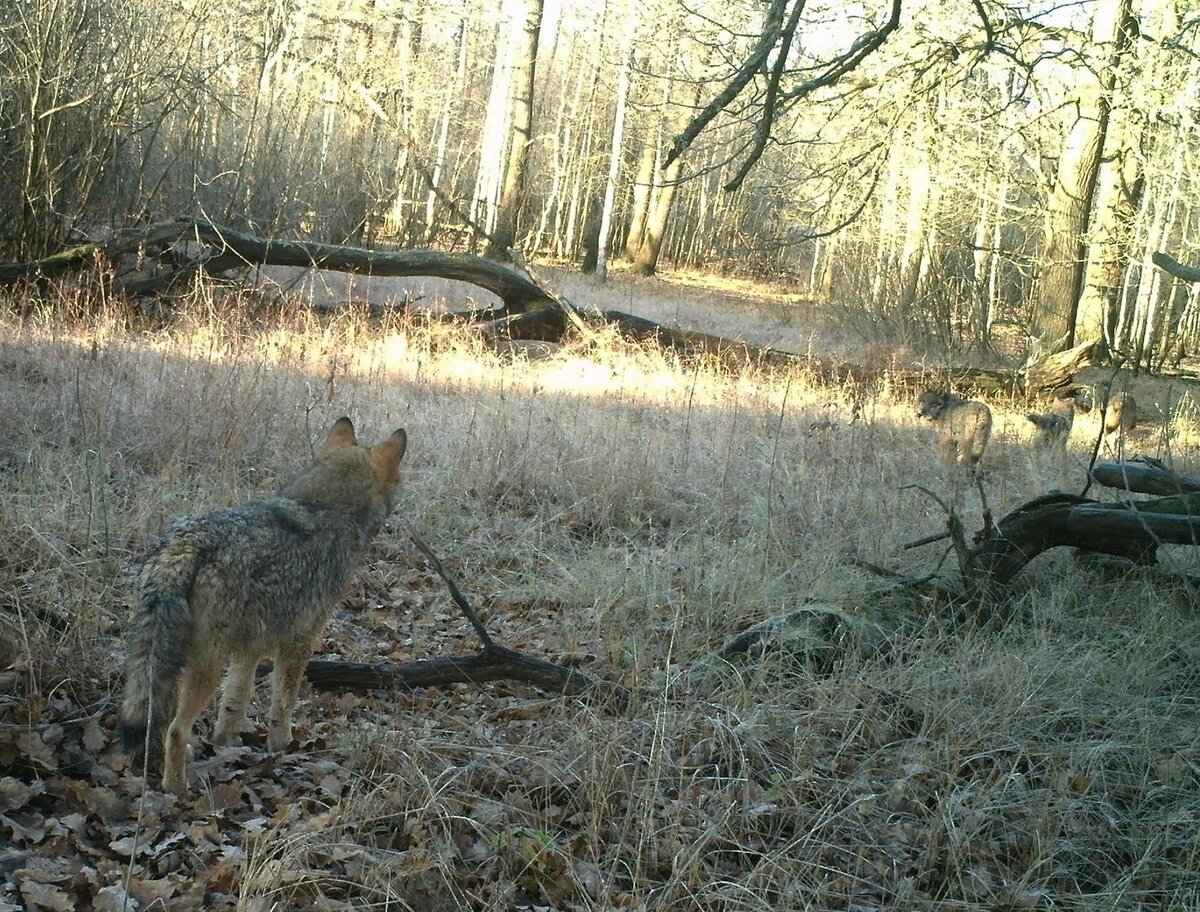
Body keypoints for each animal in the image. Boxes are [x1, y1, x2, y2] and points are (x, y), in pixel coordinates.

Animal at [118, 417, 408, 796]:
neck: (325, 509)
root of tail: (187, 543)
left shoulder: (249, 645)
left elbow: (234, 702)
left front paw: (226, 742)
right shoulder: (299, 641)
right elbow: (283, 703)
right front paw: (281, 747)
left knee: (160, 720)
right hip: (206, 665)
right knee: (174, 730)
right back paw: (177, 788)